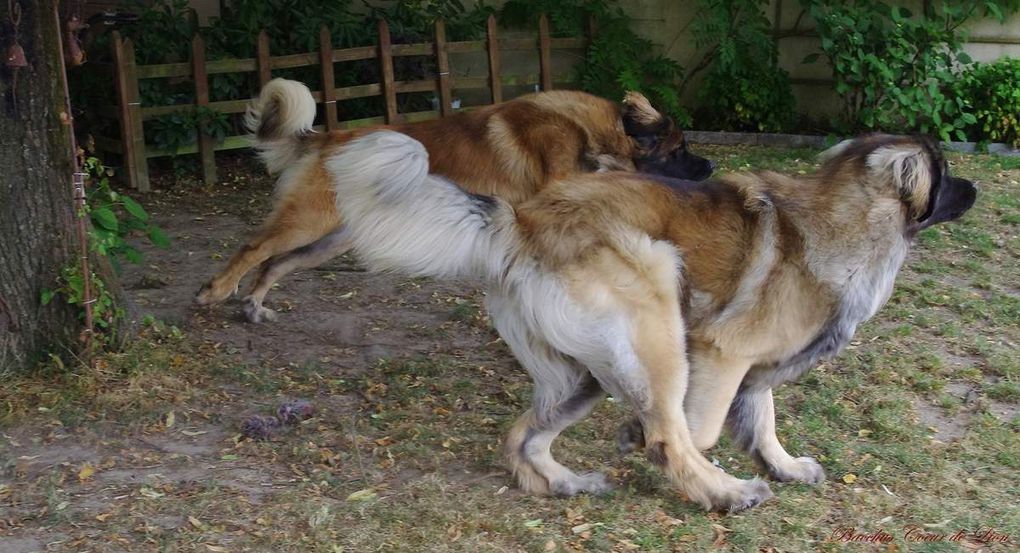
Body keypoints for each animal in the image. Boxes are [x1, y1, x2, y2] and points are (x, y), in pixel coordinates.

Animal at [194, 77, 714, 320]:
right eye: (679, 149)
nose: (710, 169)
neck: (591, 133)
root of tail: (328, 138)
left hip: (330, 240)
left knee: (274, 263)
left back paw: (254, 304)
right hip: (306, 221)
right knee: (254, 248)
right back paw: (216, 290)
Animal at [322, 130, 975, 512]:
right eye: (944, 172)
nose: (974, 187)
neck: (845, 218)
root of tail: (523, 221)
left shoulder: (753, 369)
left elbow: (762, 419)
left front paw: (785, 465)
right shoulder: (722, 352)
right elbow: (700, 428)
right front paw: (658, 446)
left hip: (579, 376)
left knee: (521, 436)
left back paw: (564, 483)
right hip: (657, 317)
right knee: (668, 431)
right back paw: (724, 492)